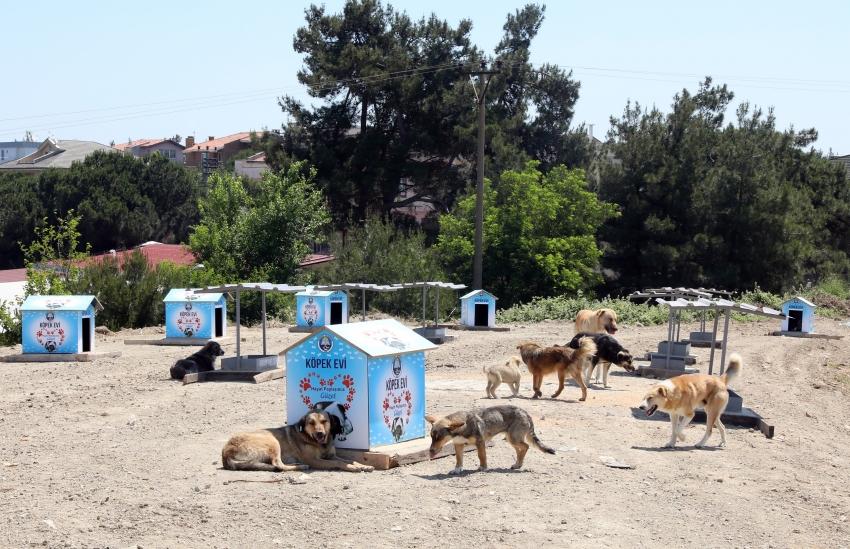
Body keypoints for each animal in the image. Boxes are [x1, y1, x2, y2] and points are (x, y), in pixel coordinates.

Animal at [222, 408, 374, 474]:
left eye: (324, 421)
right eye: (311, 423)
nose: (320, 433)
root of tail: (225, 452)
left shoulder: (331, 455)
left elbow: (350, 460)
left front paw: (362, 465)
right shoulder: (314, 460)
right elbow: (338, 463)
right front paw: (353, 468)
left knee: (278, 464)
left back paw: (296, 464)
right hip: (273, 442)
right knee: (278, 465)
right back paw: (300, 466)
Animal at [424, 402, 556, 476]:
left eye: (439, 437)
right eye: (431, 437)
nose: (430, 451)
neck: (463, 426)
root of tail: (525, 412)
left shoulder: (480, 443)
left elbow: (481, 456)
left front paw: (483, 467)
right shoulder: (458, 445)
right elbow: (459, 460)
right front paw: (457, 470)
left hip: (514, 438)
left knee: (526, 446)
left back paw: (518, 464)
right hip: (511, 439)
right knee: (521, 449)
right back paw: (518, 464)